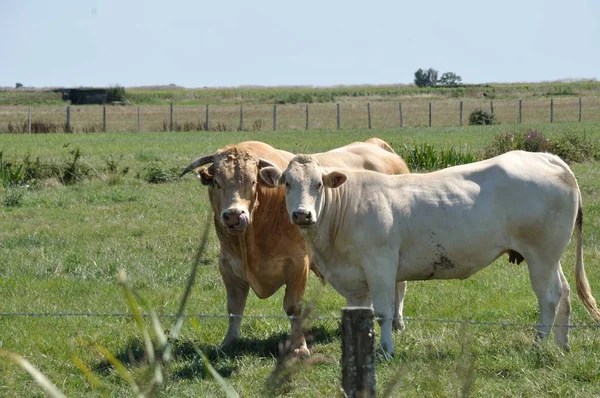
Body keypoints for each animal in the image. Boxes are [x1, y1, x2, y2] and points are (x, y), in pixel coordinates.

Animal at [180, 138, 410, 356]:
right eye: (216, 182)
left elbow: (293, 307)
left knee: (399, 286)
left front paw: (299, 347)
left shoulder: (298, 264)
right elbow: (234, 307)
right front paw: (229, 342)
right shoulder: (227, 265)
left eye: (253, 182)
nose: (234, 216)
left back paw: (397, 322)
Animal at [262, 150, 600, 358]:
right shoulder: (353, 279)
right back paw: (561, 345)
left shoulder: (381, 264)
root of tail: (545, 157)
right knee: (565, 293)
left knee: (549, 297)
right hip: (550, 256)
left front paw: (386, 351)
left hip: (541, 254)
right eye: (287, 183)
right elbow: (359, 315)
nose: (302, 214)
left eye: (318, 184)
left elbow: (383, 312)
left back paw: (539, 344)